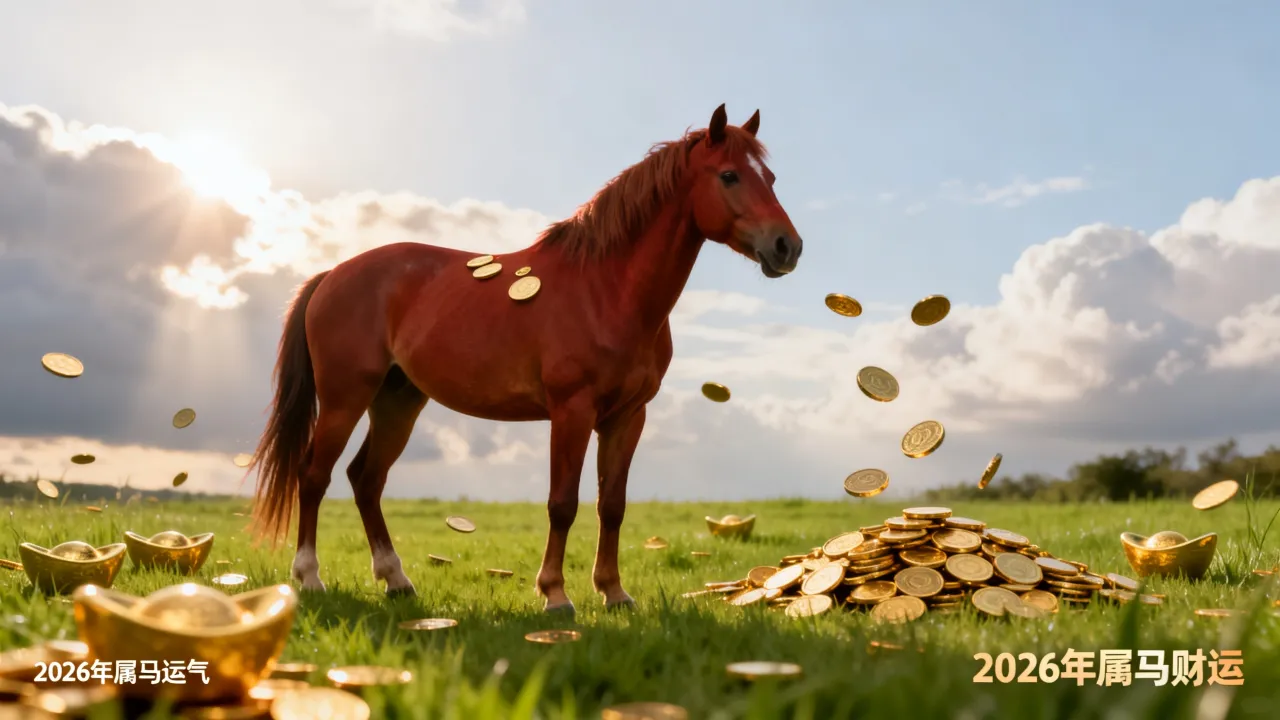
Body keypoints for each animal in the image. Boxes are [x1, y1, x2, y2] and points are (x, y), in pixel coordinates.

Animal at [249, 104, 802, 614]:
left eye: (771, 177)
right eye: (729, 175)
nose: (787, 247)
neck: (606, 290)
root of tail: (333, 274)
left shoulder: (628, 417)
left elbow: (612, 506)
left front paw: (614, 592)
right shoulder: (571, 411)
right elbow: (563, 504)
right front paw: (555, 594)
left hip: (398, 402)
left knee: (366, 480)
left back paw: (397, 580)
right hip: (345, 399)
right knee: (313, 476)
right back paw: (310, 577)